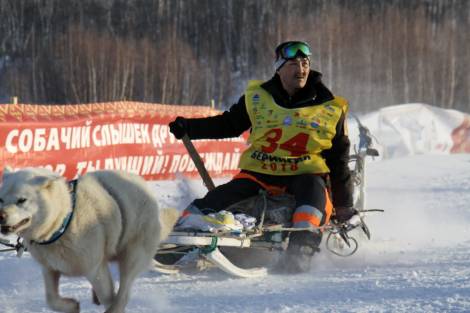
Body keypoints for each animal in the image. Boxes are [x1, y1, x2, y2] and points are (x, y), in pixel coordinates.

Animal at [0, 168, 180, 312]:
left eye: (21, 200)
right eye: (1, 199)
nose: (1, 215)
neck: (64, 220)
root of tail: (142, 184)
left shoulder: (95, 269)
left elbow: (110, 296)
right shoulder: (50, 269)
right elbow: (51, 299)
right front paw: (72, 306)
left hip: (132, 255)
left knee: (123, 294)